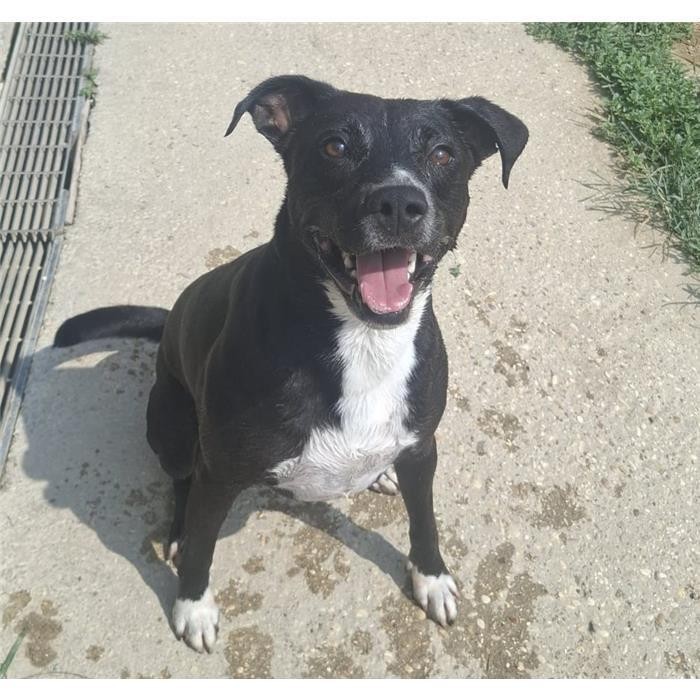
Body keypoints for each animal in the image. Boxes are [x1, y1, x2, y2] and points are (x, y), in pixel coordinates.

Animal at [54, 75, 528, 653]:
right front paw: (193, 606)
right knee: (181, 482)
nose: (399, 202)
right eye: (335, 146)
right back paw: (180, 533)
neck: (361, 340)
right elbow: (204, 548)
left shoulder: (421, 448)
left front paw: (432, 577)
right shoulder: (220, 472)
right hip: (173, 428)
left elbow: (425, 519)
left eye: (442, 154)